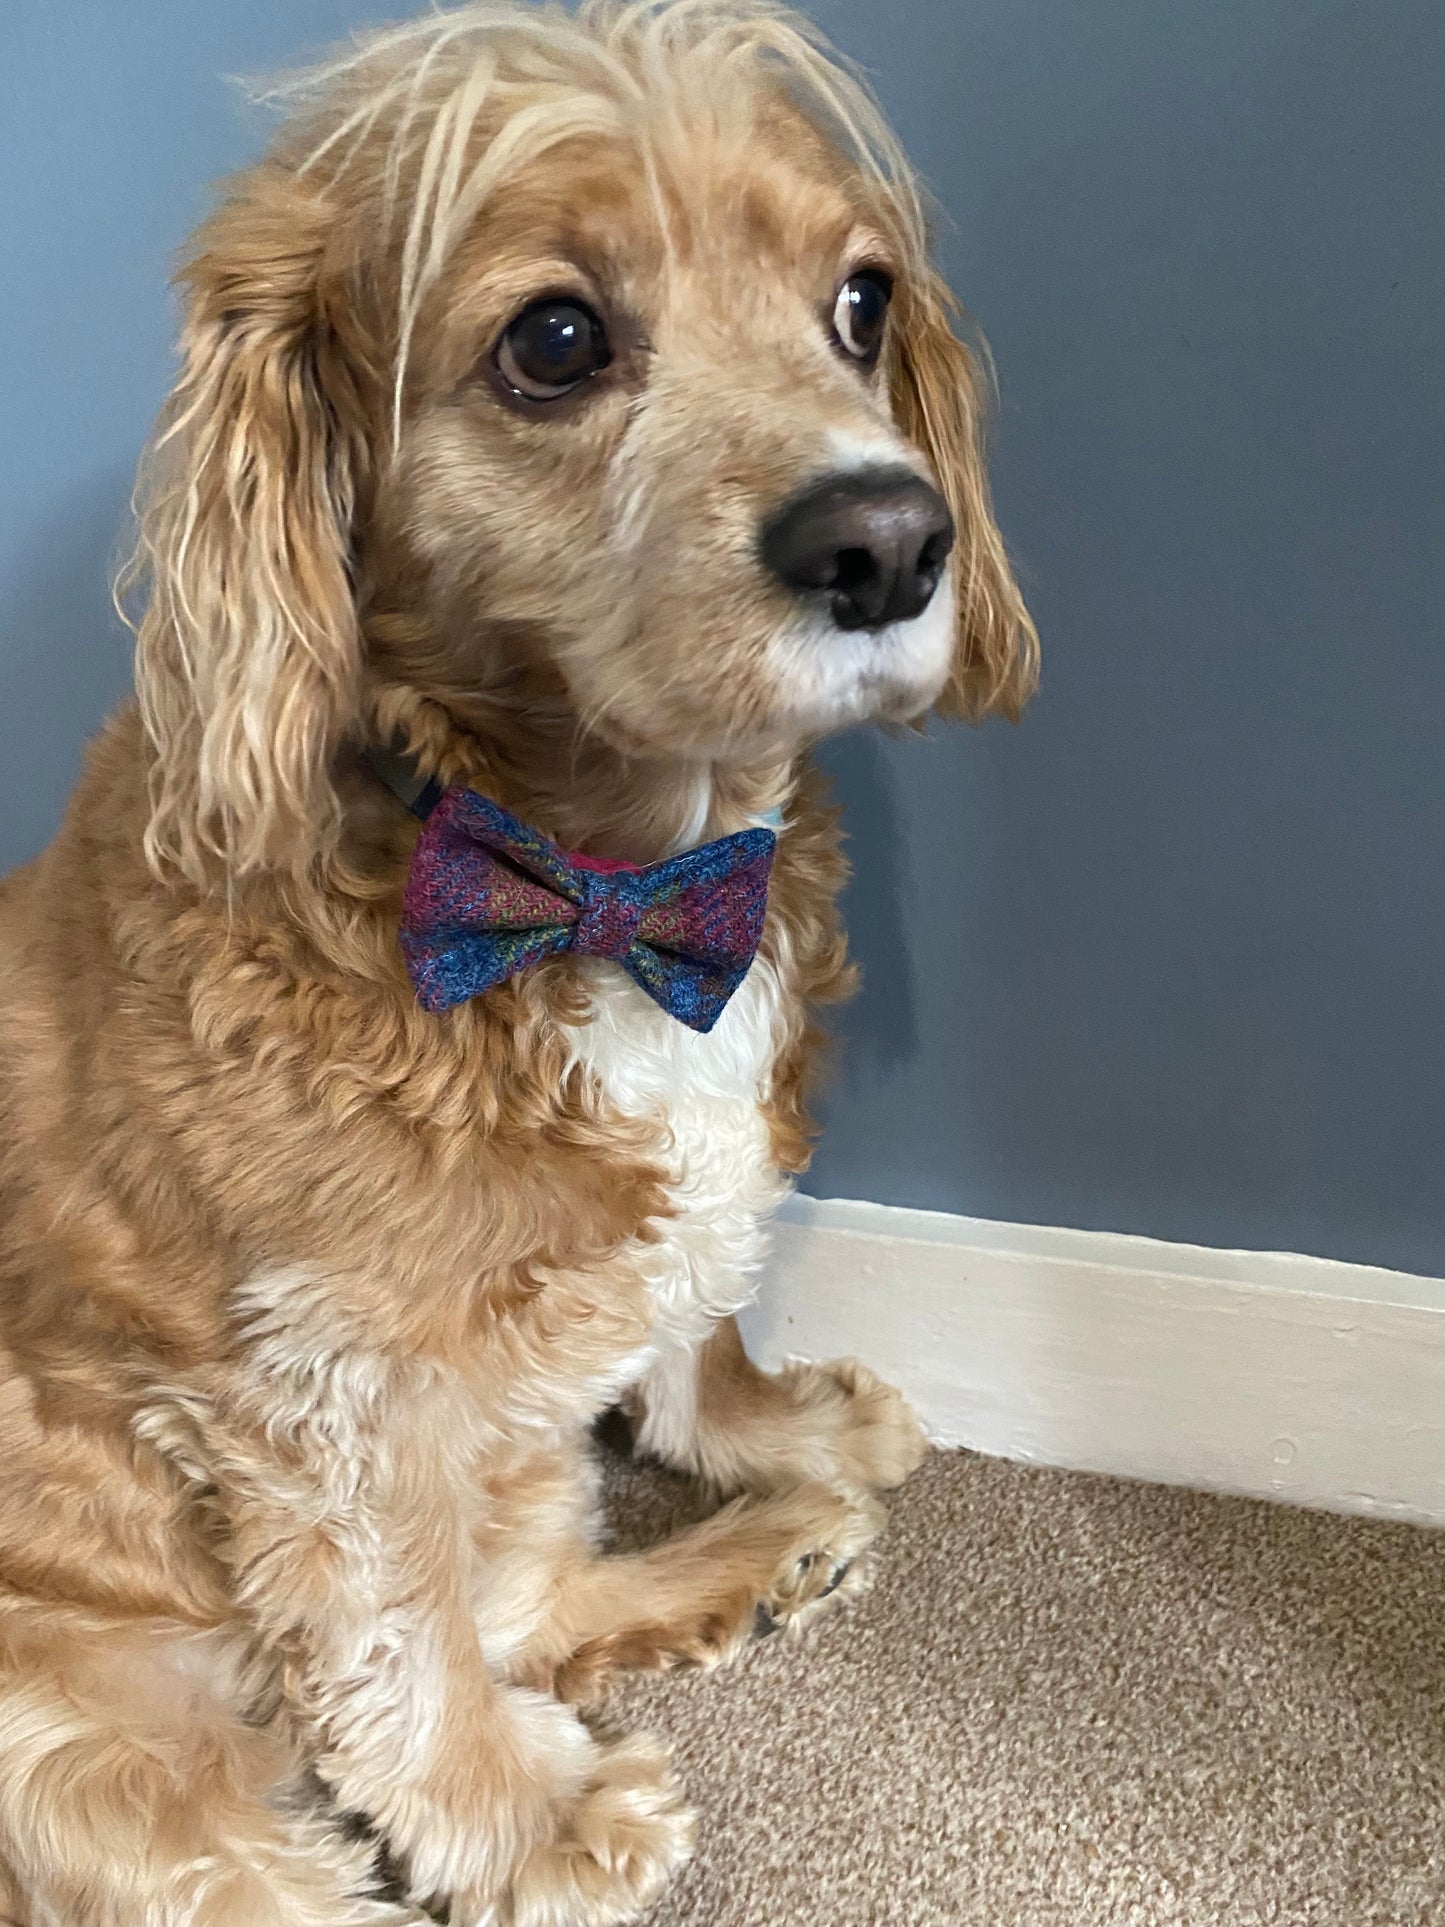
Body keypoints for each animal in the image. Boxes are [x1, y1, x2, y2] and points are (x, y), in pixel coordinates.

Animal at [0, 7, 1040, 1919]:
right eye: (553, 341)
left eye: (861, 302)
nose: (887, 539)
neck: (607, 882)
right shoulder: (327, 1391)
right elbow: (400, 1641)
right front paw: (515, 1816)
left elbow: (696, 1303)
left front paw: (774, 1429)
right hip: (95, 1763)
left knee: (540, 1594)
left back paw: (756, 1557)